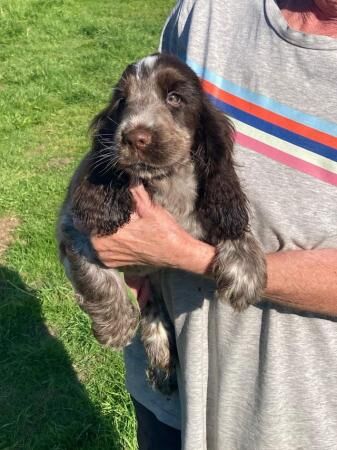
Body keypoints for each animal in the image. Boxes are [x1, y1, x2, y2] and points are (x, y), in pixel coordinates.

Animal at [58, 53, 268, 394]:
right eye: (122, 101)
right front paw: (116, 325)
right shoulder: (73, 228)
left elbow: (233, 224)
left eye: (174, 98)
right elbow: (98, 279)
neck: (166, 185)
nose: (134, 137)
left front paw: (245, 273)